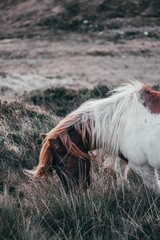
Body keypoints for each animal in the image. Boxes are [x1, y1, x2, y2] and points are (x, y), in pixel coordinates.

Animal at [27, 81, 160, 194]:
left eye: (61, 164)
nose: (72, 193)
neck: (122, 121)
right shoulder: (123, 159)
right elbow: (120, 176)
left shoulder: (142, 165)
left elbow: (154, 188)